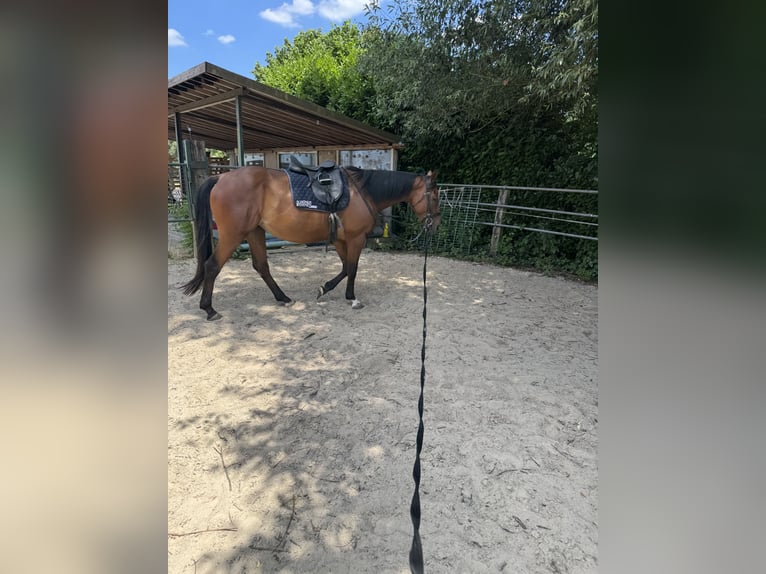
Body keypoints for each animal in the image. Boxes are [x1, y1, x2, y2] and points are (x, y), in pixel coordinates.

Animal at [181, 165, 441, 320]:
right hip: (233, 235)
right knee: (212, 266)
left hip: (254, 232)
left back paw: (283, 298)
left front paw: (324, 288)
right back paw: (209, 309)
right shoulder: (355, 238)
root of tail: (220, 176)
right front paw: (352, 298)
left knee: (261, 266)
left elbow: (345, 268)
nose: (436, 224)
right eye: (435, 196)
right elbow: (352, 268)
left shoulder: (340, 240)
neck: (361, 193)